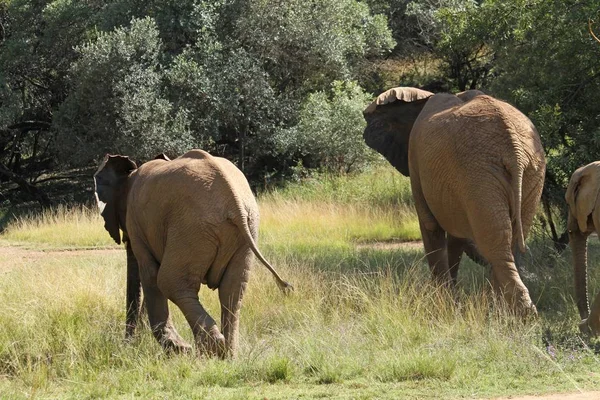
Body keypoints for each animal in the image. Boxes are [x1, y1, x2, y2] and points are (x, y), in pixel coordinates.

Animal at [94, 148, 292, 358]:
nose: (128, 344)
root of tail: (234, 203)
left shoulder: (136, 222)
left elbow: (149, 274)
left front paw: (179, 350)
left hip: (192, 227)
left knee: (170, 282)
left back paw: (210, 350)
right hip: (244, 229)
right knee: (232, 290)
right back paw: (227, 355)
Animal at [364, 87, 548, 316]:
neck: (421, 98)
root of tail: (513, 148)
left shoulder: (415, 158)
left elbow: (430, 226)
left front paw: (442, 302)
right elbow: (456, 236)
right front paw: (450, 299)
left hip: (478, 173)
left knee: (497, 244)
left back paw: (517, 313)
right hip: (530, 171)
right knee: (510, 239)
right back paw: (504, 310)